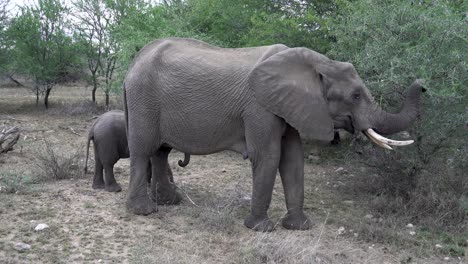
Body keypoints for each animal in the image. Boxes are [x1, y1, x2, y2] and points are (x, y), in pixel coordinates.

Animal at [124, 37, 424, 231]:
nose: (422, 85)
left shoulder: (289, 106)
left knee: (160, 152)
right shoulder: (260, 106)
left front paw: (299, 227)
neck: (317, 63)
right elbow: (268, 156)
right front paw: (260, 228)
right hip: (144, 100)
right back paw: (144, 211)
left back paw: (169, 202)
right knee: (143, 150)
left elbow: (293, 160)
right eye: (356, 95)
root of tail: (133, 64)